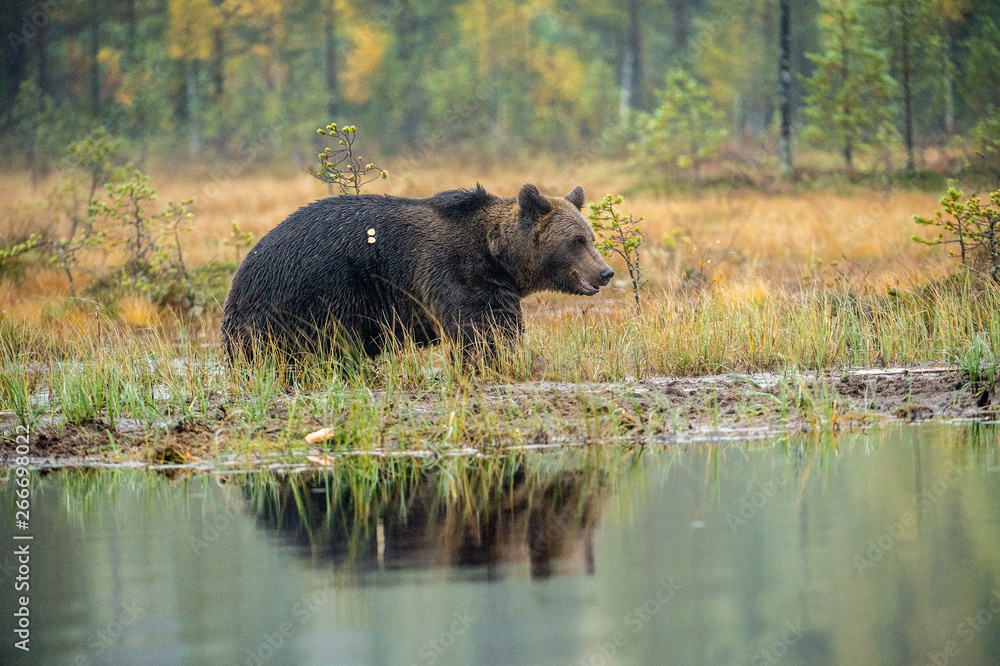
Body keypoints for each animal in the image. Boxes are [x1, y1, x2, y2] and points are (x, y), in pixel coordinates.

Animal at [221, 183, 614, 364]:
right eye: (577, 240)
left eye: (591, 237)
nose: (606, 271)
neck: (496, 254)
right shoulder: (454, 268)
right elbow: (482, 325)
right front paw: (498, 355)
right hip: (310, 291)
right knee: (325, 340)